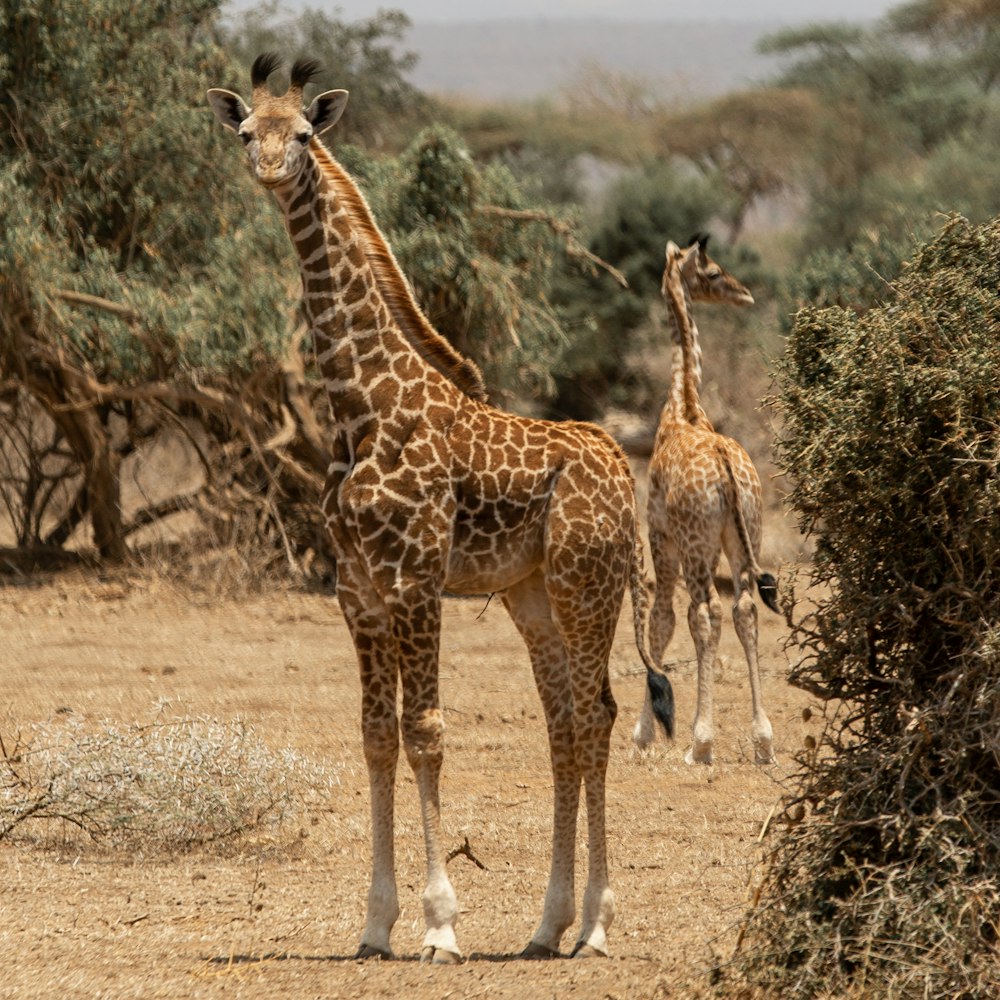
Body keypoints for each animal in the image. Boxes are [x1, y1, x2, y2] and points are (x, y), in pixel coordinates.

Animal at [205, 52, 672, 960]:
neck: (360, 407)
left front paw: (440, 924)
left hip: (587, 587)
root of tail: (621, 472)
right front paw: (374, 924)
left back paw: (597, 925)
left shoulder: (416, 580)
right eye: (246, 131)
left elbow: (424, 732)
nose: (270, 170)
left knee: (598, 715)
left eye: (303, 133)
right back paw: (546, 925)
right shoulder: (356, 591)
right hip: (533, 598)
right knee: (564, 725)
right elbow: (376, 736)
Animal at [632, 234, 780, 764]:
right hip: (743, 533)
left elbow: (662, 619)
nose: (744, 294)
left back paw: (701, 741)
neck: (684, 405)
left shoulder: (659, 533)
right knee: (745, 609)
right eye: (713, 273)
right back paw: (763, 739)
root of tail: (724, 467)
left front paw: (644, 734)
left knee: (704, 613)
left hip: (696, 545)